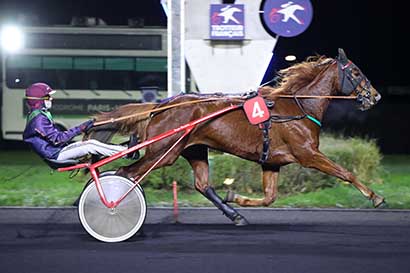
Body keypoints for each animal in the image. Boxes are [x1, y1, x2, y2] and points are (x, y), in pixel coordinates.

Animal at [88, 47, 382, 224]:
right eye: (355, 71)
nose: (375, 96)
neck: (298, 107)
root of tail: (162, 105)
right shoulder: (308, 154)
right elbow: (345, 172)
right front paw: (375, 197)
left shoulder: (272, 161)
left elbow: (270, 197)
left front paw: (236, 197)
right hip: (163, 152)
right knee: (126, 173)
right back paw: (112, 206)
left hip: (193, 149)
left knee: (202, 185)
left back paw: (234, 213)